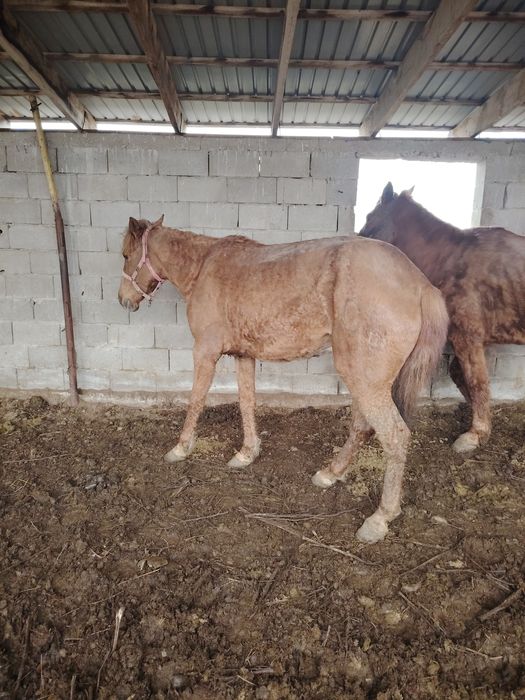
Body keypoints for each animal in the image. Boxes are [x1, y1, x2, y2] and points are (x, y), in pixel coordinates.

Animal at [118, 216, 448, 543]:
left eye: (125, 255)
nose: (123, 300)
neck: (203, 266)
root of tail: (421, 285)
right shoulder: (244, 356)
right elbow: (246, 402)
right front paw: (247, 453)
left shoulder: (205, 352)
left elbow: (196, 400)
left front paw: (181, 447)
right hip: (363, 380)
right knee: (361, 426)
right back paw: (331, 473)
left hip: (367, 383)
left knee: (395, 436)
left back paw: (380, 518)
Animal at [361, 182, 525, 453]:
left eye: (370, 218)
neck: (452, 259)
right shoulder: (476, 340)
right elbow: (463, 377)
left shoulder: (467, 338)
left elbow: (477, 382)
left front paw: (475, 434)